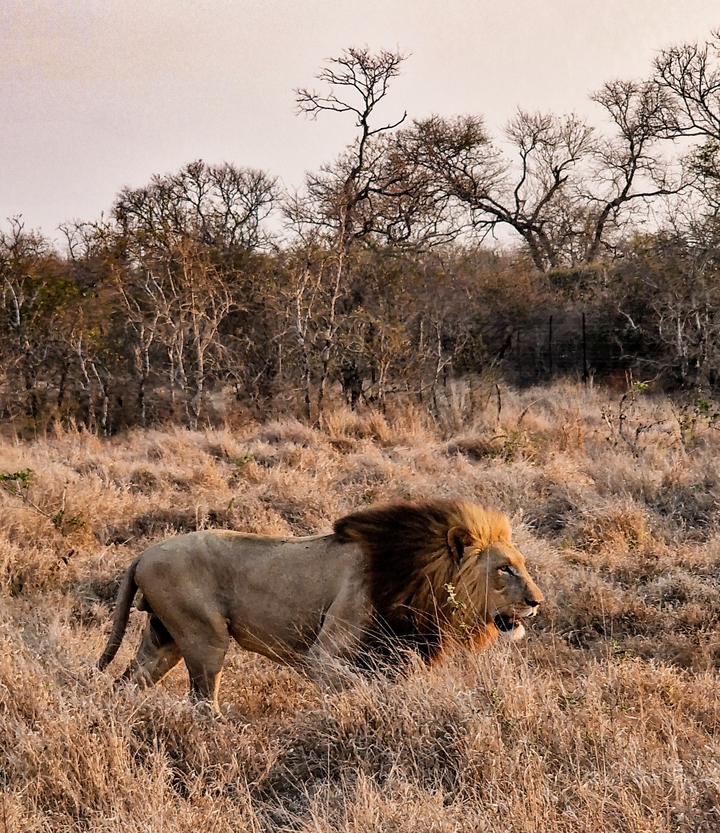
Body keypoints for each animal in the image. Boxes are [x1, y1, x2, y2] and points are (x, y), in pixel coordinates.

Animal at [98, 500, 543, 712]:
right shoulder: (324, 654)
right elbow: (354, 686)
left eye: (521, 565)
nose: (536, 602)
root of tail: (144, 553)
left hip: (164, 639)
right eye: (505, 569)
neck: (419, 577)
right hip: (205, 638)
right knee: (202, 702)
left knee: (128, 681)